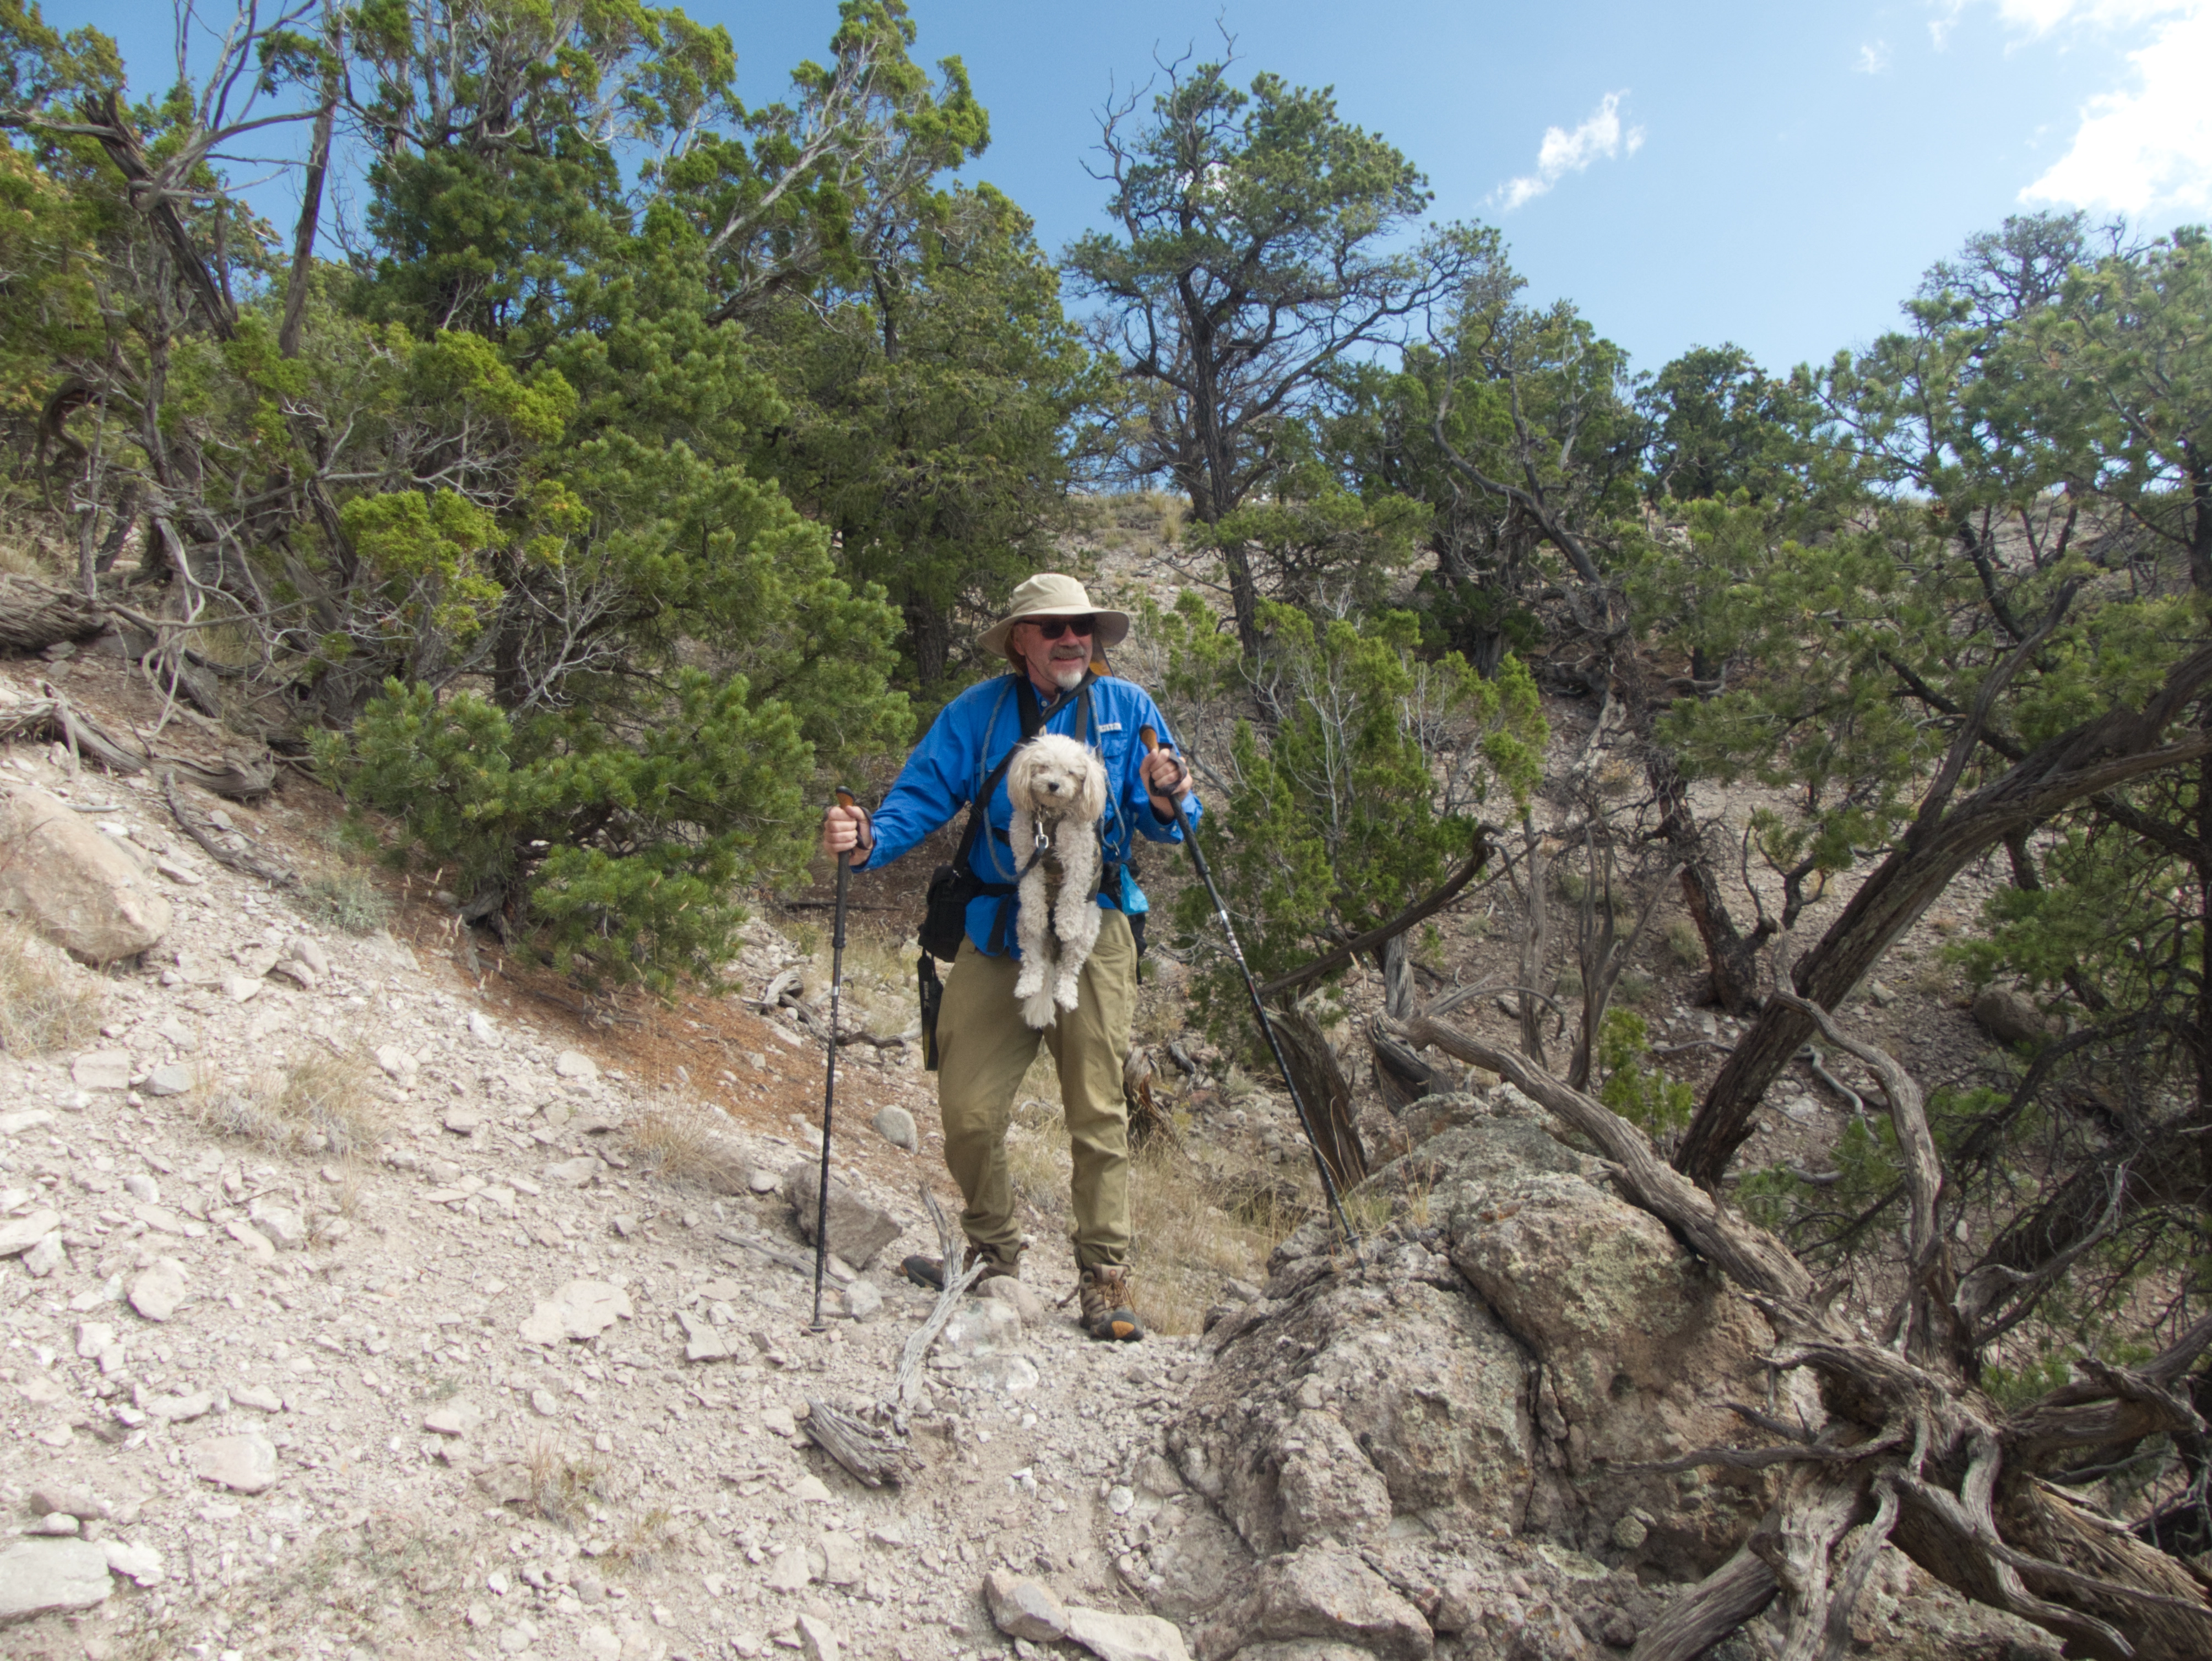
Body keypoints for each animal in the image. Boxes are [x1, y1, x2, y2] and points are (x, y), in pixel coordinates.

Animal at [1004, 739, 1105, 1035]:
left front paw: (1067, 924)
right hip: (1022, 929)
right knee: (1033, 960)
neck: (1050, 817)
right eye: (1043, 767)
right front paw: (1038, 914)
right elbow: (1030, 890)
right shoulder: (1026, 855)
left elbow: (1072, 894)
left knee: (1068, 968)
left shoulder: (1079, 861)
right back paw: (1028, 986)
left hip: (1088, 929)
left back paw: (1066, 995)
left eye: (1071, 772)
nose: (1053, 785)